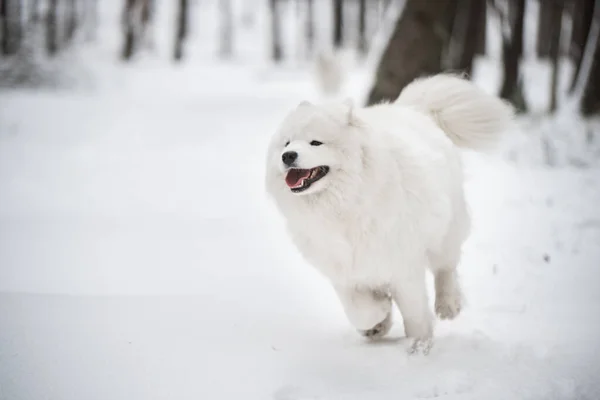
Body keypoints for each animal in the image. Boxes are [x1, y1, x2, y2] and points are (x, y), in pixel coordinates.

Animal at [264, 72, 512, 354]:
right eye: (286, 143)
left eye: (315, 142)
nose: (288, 155)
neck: (344, 206)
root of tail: (415, 110)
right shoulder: (342, 270)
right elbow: (360, 310)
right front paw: (378, 318)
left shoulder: (402, 264)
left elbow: (414, 312)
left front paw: (419, 346)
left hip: (445, 230)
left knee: (446, 267)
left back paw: (448, 305)